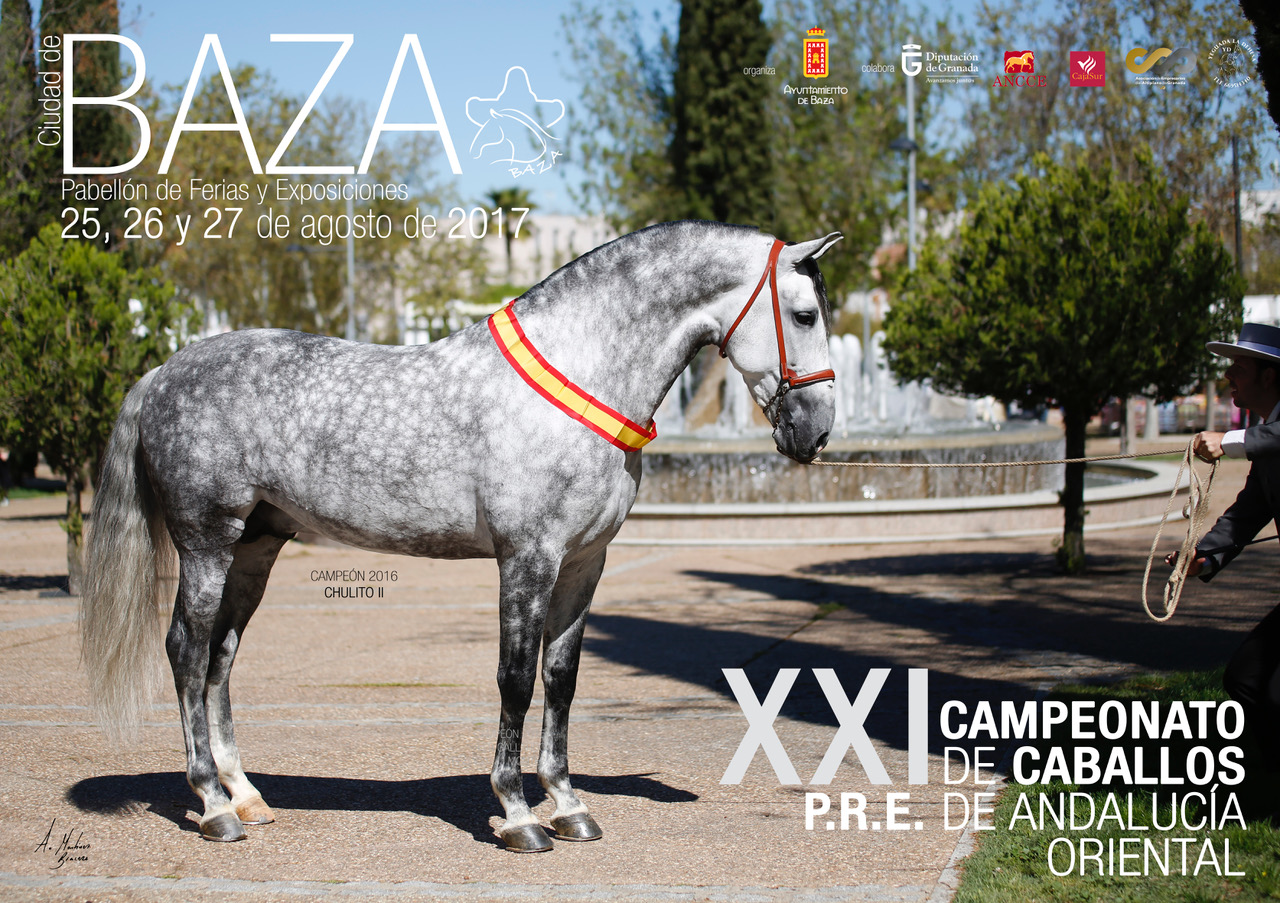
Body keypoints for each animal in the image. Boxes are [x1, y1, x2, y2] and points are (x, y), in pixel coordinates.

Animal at [81, 220, 841, 852]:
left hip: (256, 547)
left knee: (221, 658)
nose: (816, 431)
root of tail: (161, 373)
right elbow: (515, 678)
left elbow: (560, 679)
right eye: (804, 314)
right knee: (187, 651)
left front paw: (569, 805)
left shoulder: (584, 564)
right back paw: (212, 805)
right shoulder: (528, 558)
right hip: (207, 541)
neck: (582, 367)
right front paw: (519, 814)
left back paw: (246, 796)